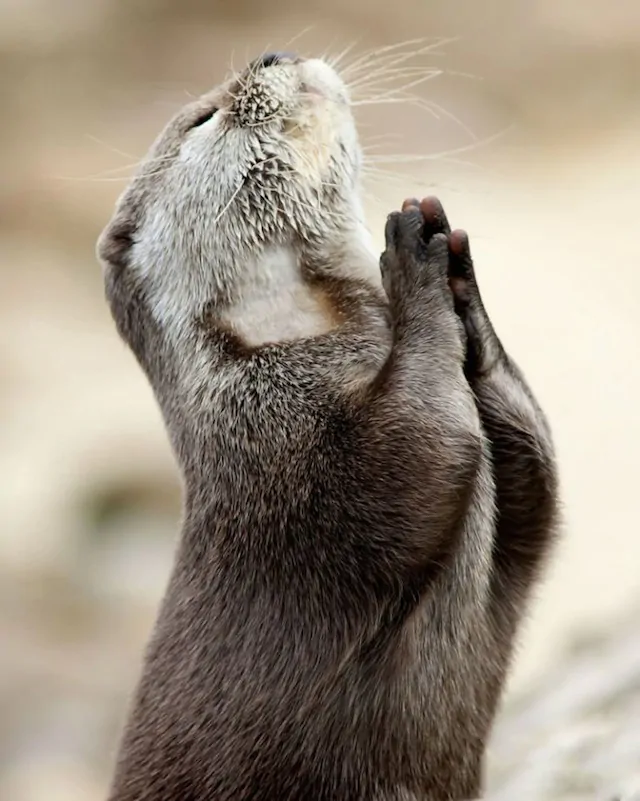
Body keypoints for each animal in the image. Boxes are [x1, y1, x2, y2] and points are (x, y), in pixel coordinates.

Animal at [97, 51, 556, 800]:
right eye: (204, 118)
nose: (271, 54)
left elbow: (535, 484)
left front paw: (460, 280)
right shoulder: (284, 449)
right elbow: (419, 451)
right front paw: (412, 261)